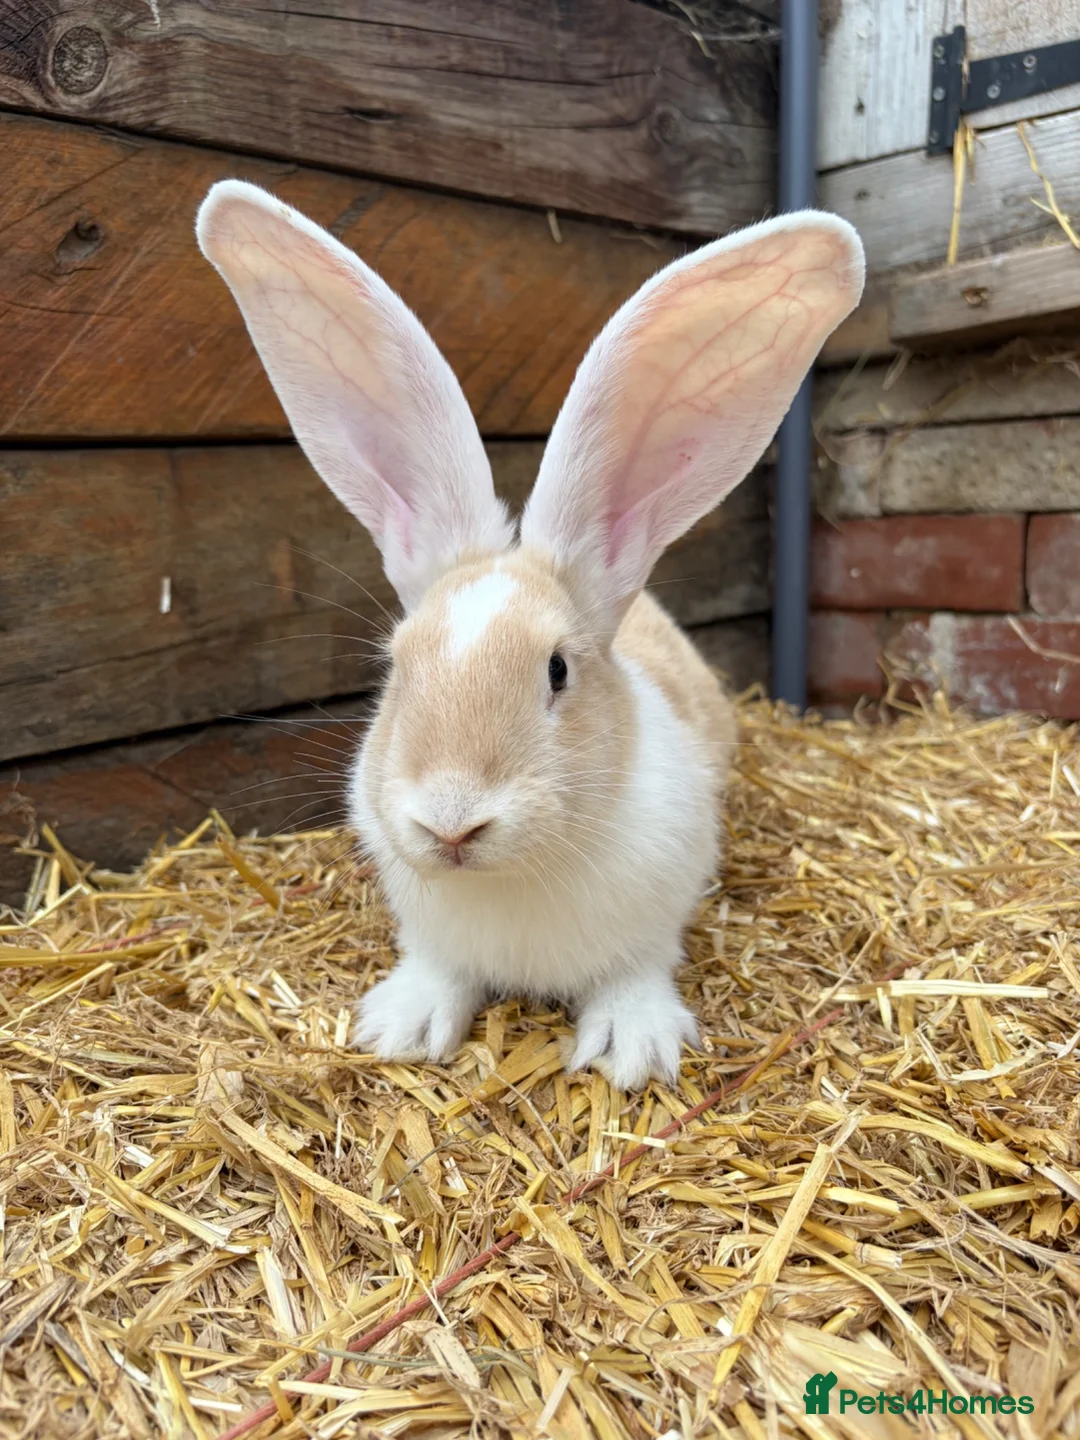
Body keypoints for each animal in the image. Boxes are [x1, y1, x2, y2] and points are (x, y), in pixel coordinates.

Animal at [196, 181, 863, 1090]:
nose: (451, 823)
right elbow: (437, 971)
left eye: (557, 671)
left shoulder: (655, 920)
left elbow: (635, 973)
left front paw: (629, 1051)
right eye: (397, 668)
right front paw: (401, 1028)